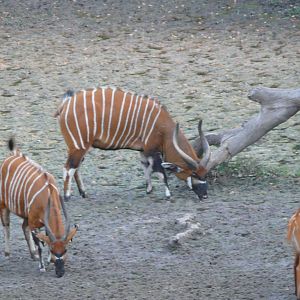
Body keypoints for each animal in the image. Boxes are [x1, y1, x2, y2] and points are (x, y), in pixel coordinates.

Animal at [0, 139, 78, 278]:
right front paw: (42, 267)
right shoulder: (34, 224)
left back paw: (33, 254)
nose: (60, 272)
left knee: (23, 227)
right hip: (4, 206)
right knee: (6, 227)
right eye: (53, 249)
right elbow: (40, 244)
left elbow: (44, 238)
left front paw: (48, 261)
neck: (48, 193)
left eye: (65, 249)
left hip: (26, 215)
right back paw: (8, 254)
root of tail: (13, 155)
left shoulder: (41, 223)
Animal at [55, 86, 211, 202]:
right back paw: (67, 196)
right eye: (194, 174)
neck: (164, 128)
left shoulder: (144, 151)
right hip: (79, 146)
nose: (204, 195)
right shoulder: (152, 150)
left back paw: (84, 193)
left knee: (75, 168)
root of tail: (66, 104)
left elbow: (146, 168)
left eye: (205, 174)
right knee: (68, 168)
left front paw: (149, 190)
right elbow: (160, 172)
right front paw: (168, 194)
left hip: (79, 148)